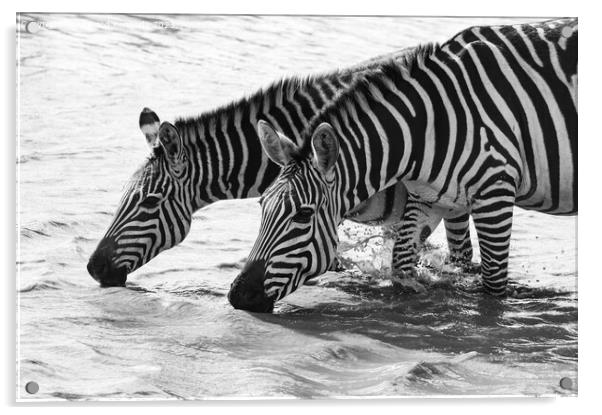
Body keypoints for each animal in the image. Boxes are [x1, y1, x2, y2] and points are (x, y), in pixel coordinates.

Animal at [227, 18, 576, 312]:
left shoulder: (495, 192)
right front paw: (408, 301)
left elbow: (492, 284)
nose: (238, 296)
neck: (425, 129)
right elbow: (402, 261)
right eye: (262, 206)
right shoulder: (430, 196)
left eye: (303, 215)